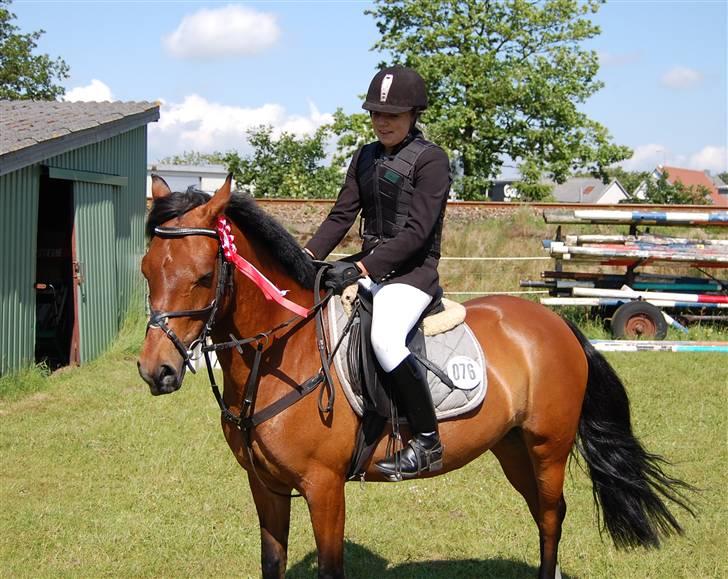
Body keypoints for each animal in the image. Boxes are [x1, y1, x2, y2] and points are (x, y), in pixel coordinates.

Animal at [137, 175, 692, 579]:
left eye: (203, 277)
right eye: (146, 270)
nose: (155, 370)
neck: (279, 353)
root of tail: (555, 323)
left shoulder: (324, 488)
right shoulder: (266, 486)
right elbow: (271, 562)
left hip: (547, 446)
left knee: (553, 517)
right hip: (512, 447)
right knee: (542, 514)